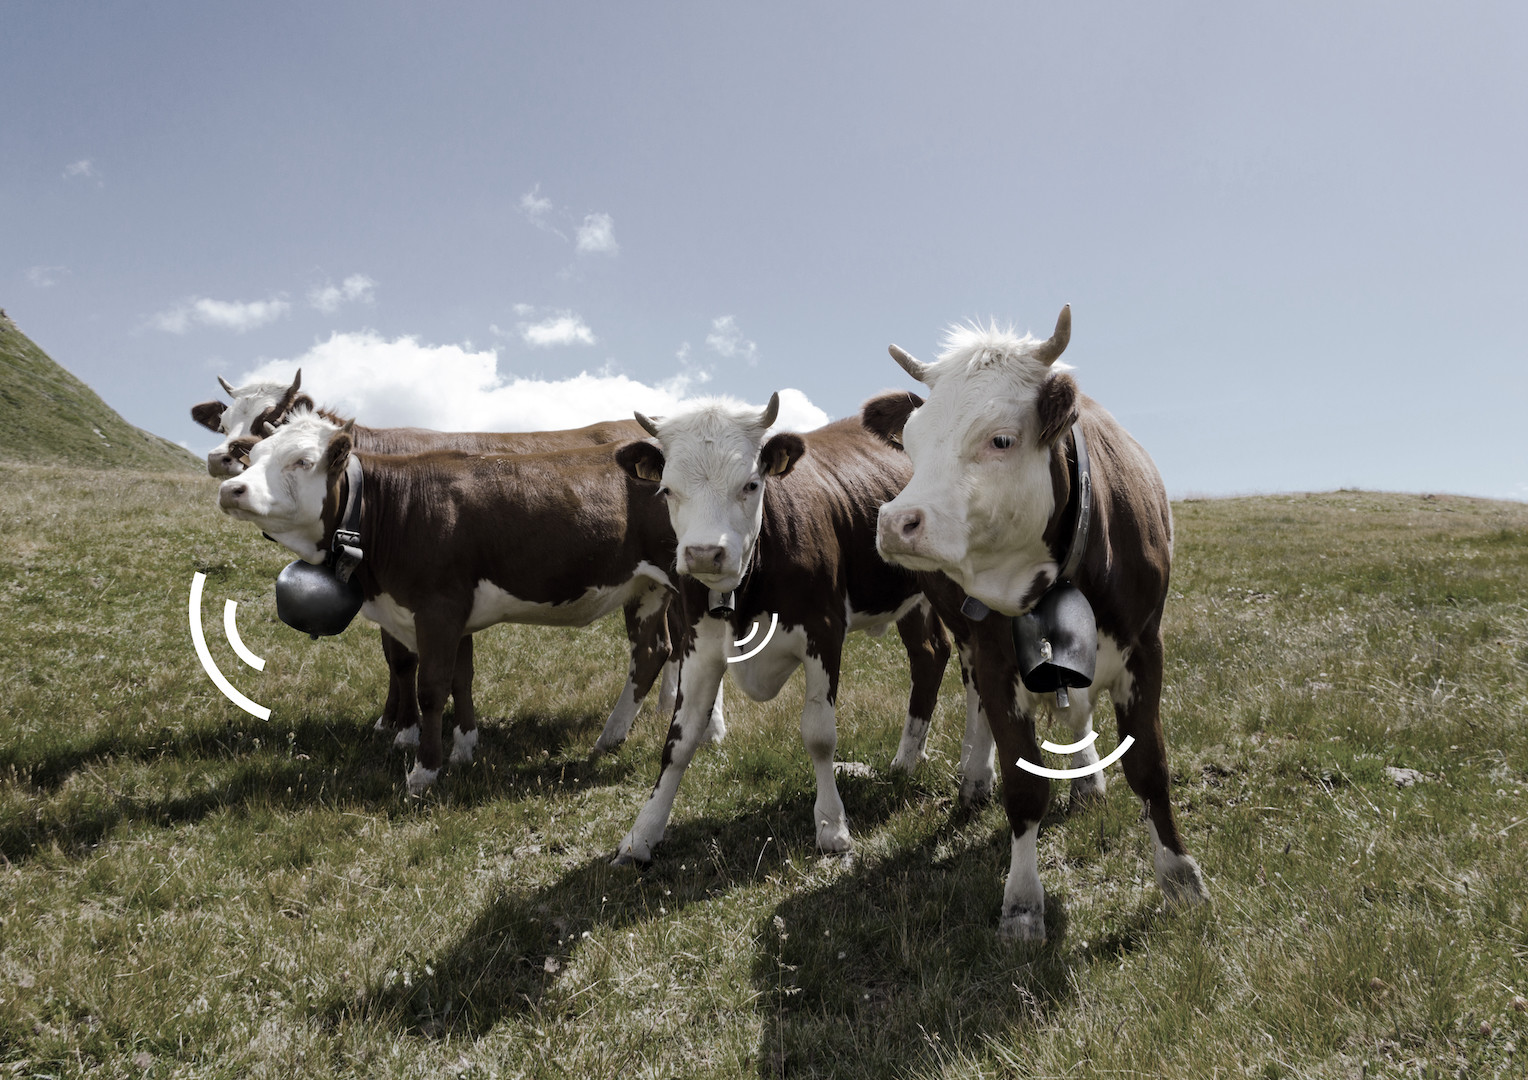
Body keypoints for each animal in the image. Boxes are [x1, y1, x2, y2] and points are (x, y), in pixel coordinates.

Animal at [216, 407, 724, 792]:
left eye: (302, 461)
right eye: (252, 457)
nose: (230, 489)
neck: (394, 508)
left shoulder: (437, 607)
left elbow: (431, 687)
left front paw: (424, 771)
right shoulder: (453, 613)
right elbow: (462, 679)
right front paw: (464, 748)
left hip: (686, 581)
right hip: (645, 588)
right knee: (652, 651)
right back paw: (611, 738)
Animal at [609, 394, 957, 866]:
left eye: (751, 485)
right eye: (667, 490)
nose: (704, 553)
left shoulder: (824, 633)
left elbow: (819, 735)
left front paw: (832, 826)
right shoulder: (698, 645)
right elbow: (679, 742)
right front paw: (642, 835)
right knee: (930, 653)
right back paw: (907, 759)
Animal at [867, 305, 1209, 939]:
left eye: (1000, 439)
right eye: (911, 442)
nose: (897, 522)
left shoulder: (1146, 647)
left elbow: (1149, 766)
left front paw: (1180, 877)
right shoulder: (995, 655)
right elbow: (1024, 788)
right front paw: (1023, 903)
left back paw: (1089, 779)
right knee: (975, 697)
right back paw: (975, 777)